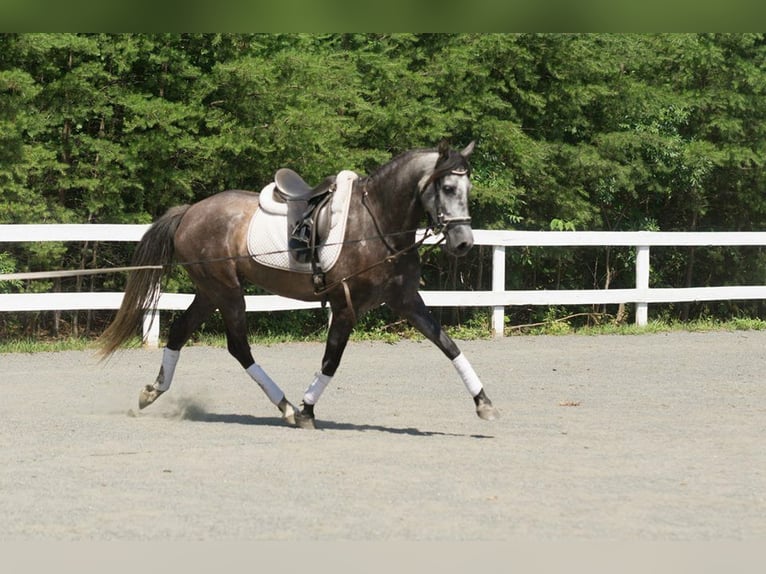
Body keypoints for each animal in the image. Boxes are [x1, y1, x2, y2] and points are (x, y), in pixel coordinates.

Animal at [99, 142, 500, 430]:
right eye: (447, 186)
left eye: (467, 187)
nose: (464, 242)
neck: (377, 224)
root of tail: (191, 211)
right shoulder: (345, 306)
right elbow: (331, 359)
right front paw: (307, 410)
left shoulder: (406, 300)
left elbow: (448, 344)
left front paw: (484, 403)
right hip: (227, 292)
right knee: (238, 346)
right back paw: (287, 408)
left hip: (210, 291)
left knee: (181, 331)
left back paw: (154, 391)